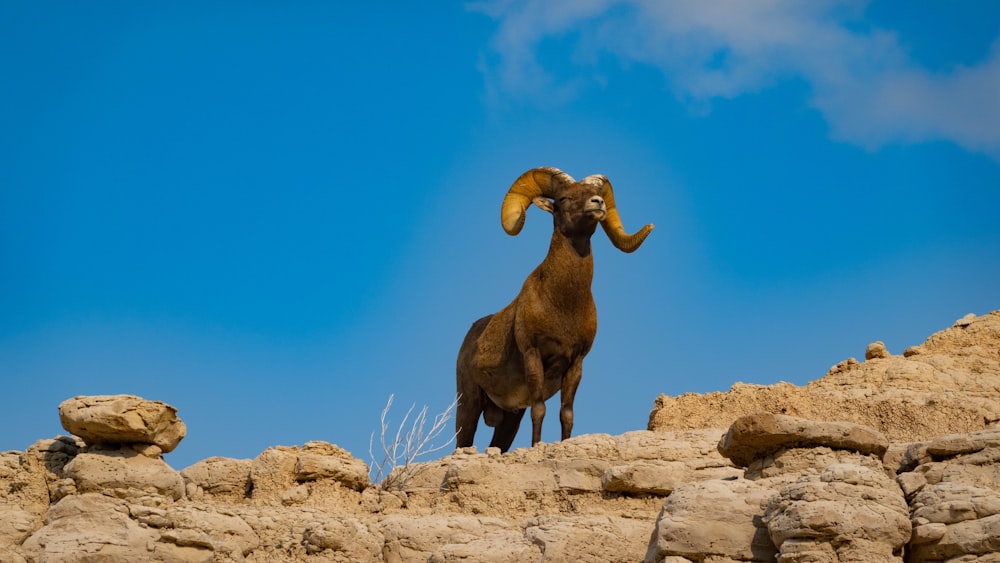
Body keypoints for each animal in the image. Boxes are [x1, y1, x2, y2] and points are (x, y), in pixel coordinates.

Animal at [456, 165, 656, 452]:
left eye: (595, 192)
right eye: (564, 198)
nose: (598, 203)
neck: (563, 305)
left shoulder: (575, 363)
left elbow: (566, 413)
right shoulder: (534, 355)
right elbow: (539, 409)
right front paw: (537, 446)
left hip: (508, 419)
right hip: (468, 402)